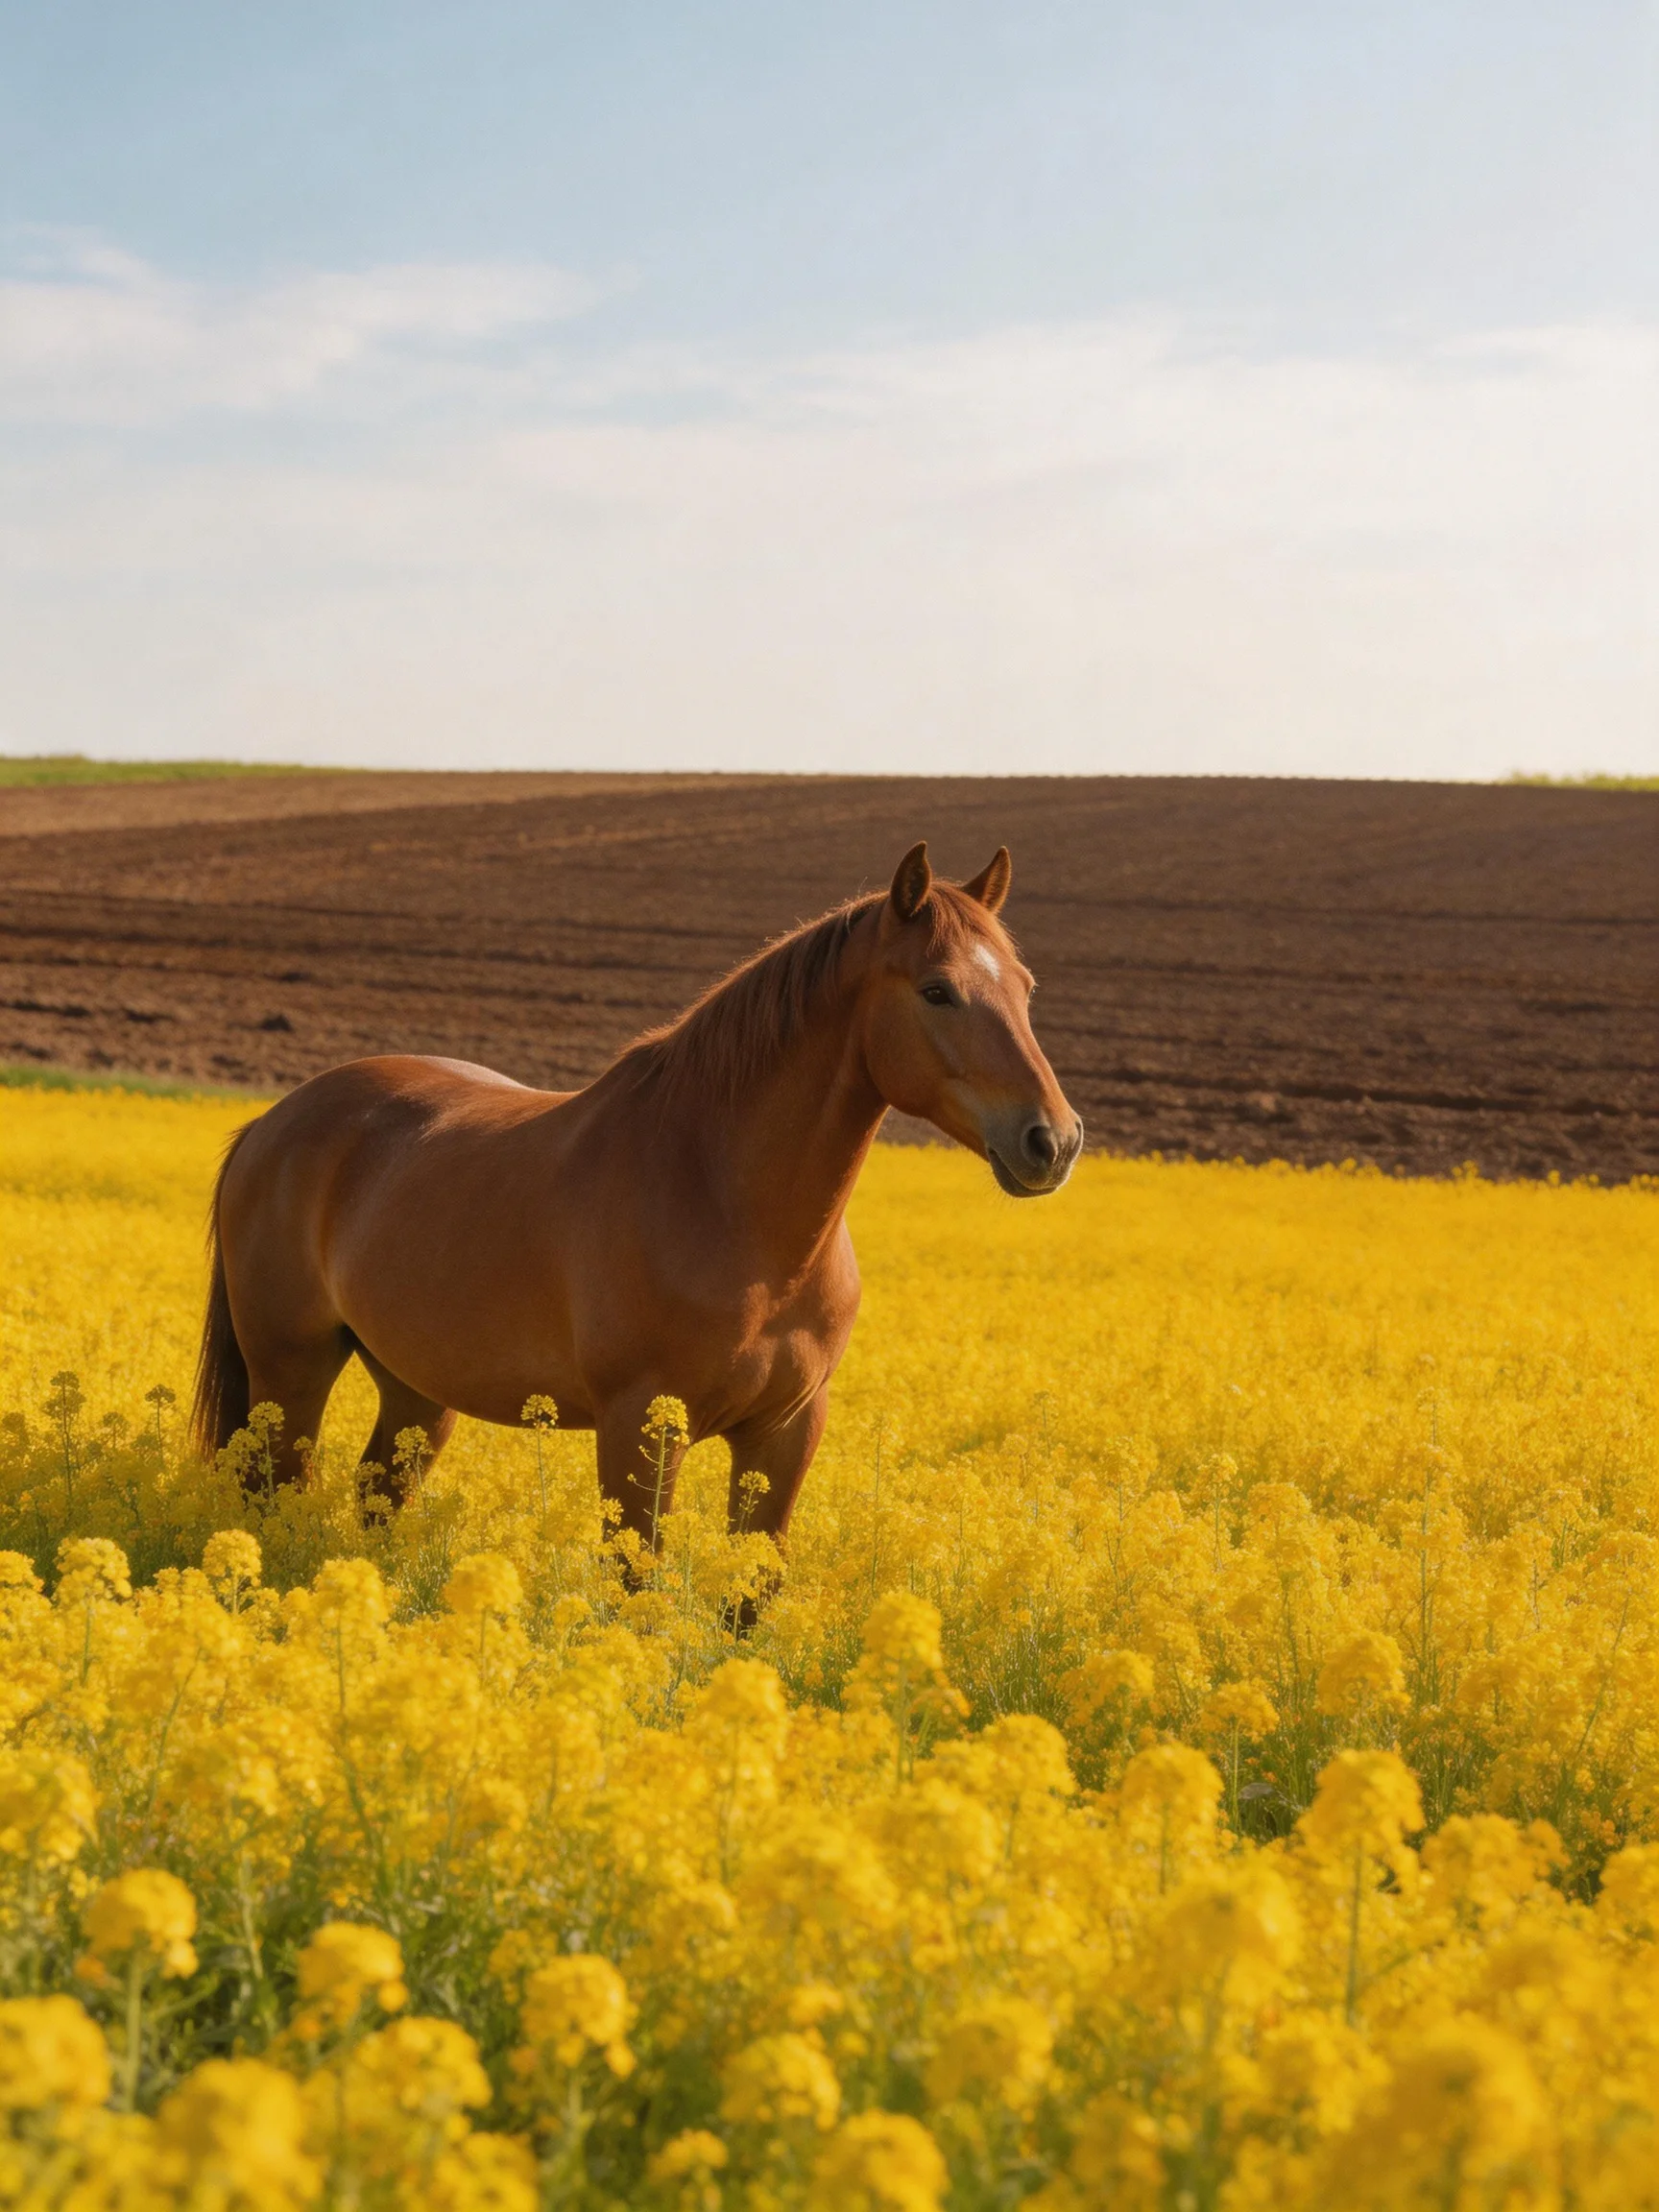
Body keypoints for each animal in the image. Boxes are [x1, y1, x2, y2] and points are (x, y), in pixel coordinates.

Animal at [192, 840, 1082, 1549]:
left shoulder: (787, 1433)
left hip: (415, 1387)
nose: (1054, 1140)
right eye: (937, 990)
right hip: (291, 1373)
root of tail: (271, 1123)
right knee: (273, 1490)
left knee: (377, 1491)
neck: (730, 1209)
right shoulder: (640, 1431)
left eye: (1027, 987)